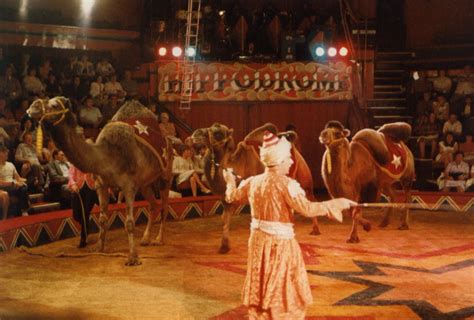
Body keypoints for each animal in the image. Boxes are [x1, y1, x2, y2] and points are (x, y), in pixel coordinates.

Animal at [27, 97, 172, 264]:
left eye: (55, 105)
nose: (33, 106)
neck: (107, 156)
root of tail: (167, 139)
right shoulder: (101, 186)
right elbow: (102, 219)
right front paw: (98, 248)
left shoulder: (128, 186)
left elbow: (129, 223)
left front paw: (132, 257)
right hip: (145, 183)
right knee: (154, 205)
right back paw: (145, 239)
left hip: (165, 173)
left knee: (164, 206)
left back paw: (158, 239)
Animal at [192, 121, 318, 254]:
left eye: (218, 133)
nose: (196, 133)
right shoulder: (226, 200)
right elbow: (225, 219)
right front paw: (224, 247)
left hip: (304, 178)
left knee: (310, 198)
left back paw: (315, 230)